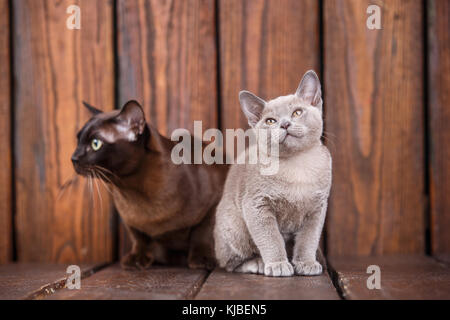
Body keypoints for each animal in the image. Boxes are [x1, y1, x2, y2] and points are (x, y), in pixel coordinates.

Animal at [72, 100, 230, 270]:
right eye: (78, 141)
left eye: (95, 144)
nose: (73, 158)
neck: (132, 191)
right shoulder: (129, 219)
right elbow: (139, 238)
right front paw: (136, 260)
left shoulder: (213, 204)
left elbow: (202, 234)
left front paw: (201, 261)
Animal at [213, 70, 332, 278]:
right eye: (270, 121)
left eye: (297, 112)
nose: (284, 124)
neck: (297, 165)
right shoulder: (257, 205)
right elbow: (271, 239)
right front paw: (278, 264)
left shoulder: (317, 208)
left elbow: (308, 240)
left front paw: (306, 263)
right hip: (235, 228)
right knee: (230, 263)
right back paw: (258, 263)